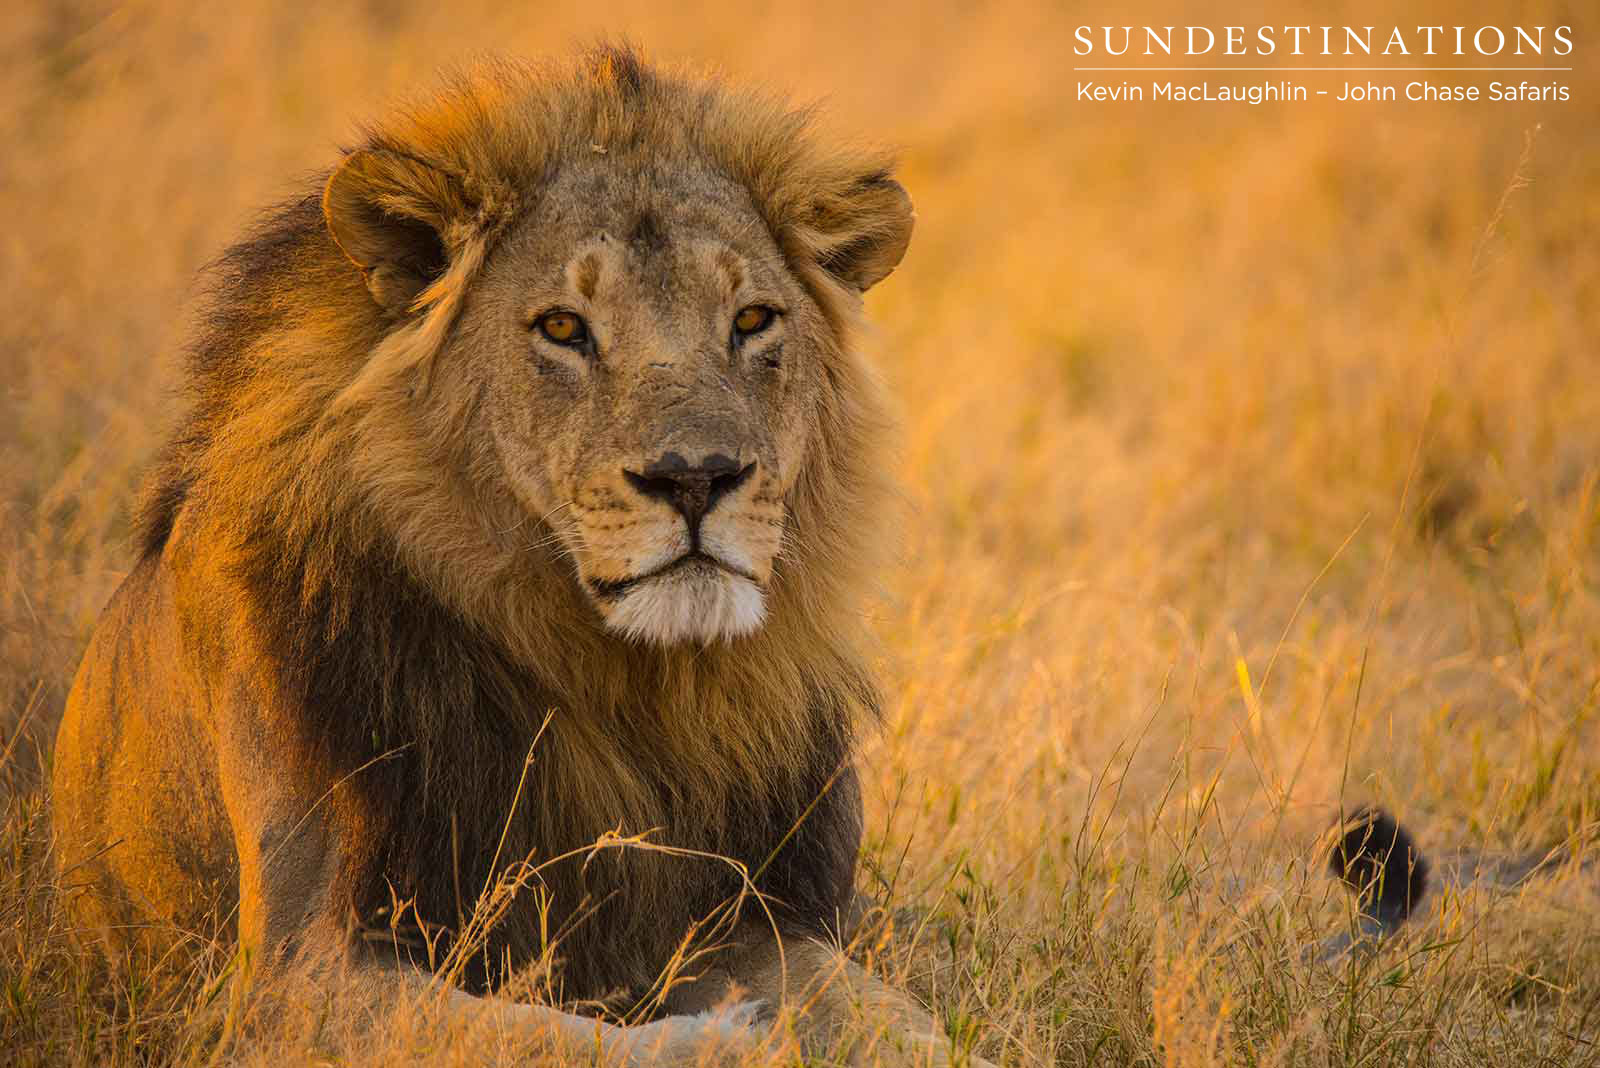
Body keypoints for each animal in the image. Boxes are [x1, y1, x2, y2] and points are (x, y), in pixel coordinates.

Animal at [50, 47, 985, 1066]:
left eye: (752, 321)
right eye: (563, 328)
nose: (697, 477)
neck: (622, 687)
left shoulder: (756, 916)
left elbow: (890, 1014)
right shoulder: (289, 975)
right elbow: (542, 1034)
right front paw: (728, 1038)